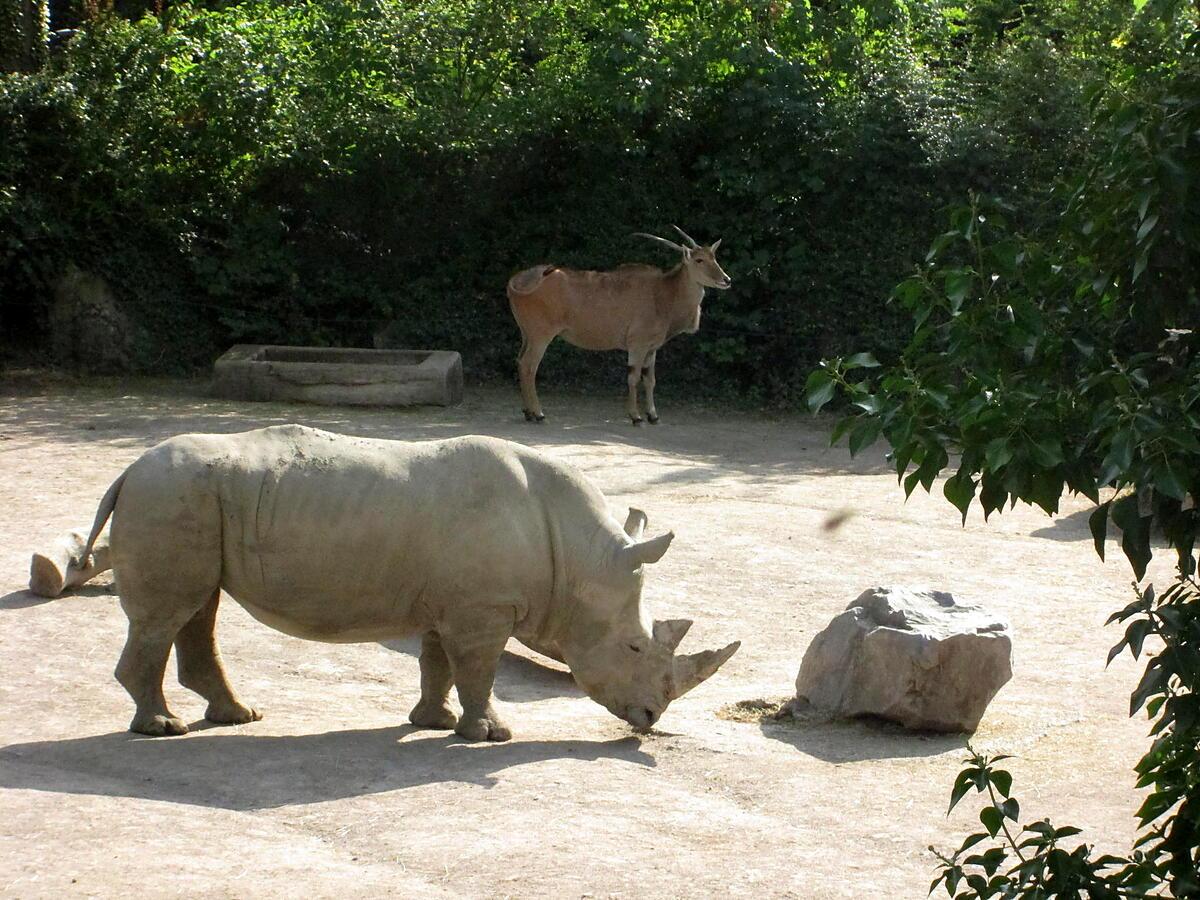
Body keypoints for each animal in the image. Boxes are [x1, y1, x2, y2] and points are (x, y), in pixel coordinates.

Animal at [506, 224, 729, 424]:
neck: (662, 293)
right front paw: (636, 416)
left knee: (519, 361)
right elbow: (633, 377)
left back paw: (528, 412)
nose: (726, 280)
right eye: (699, 260)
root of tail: (517, 282)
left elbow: (650, 380)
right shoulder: (637, 345)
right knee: (529, 365)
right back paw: (538, 414)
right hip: (541, 335)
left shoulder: (651, 348)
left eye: (714, 258)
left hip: (527, 334)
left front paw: (653, 416)